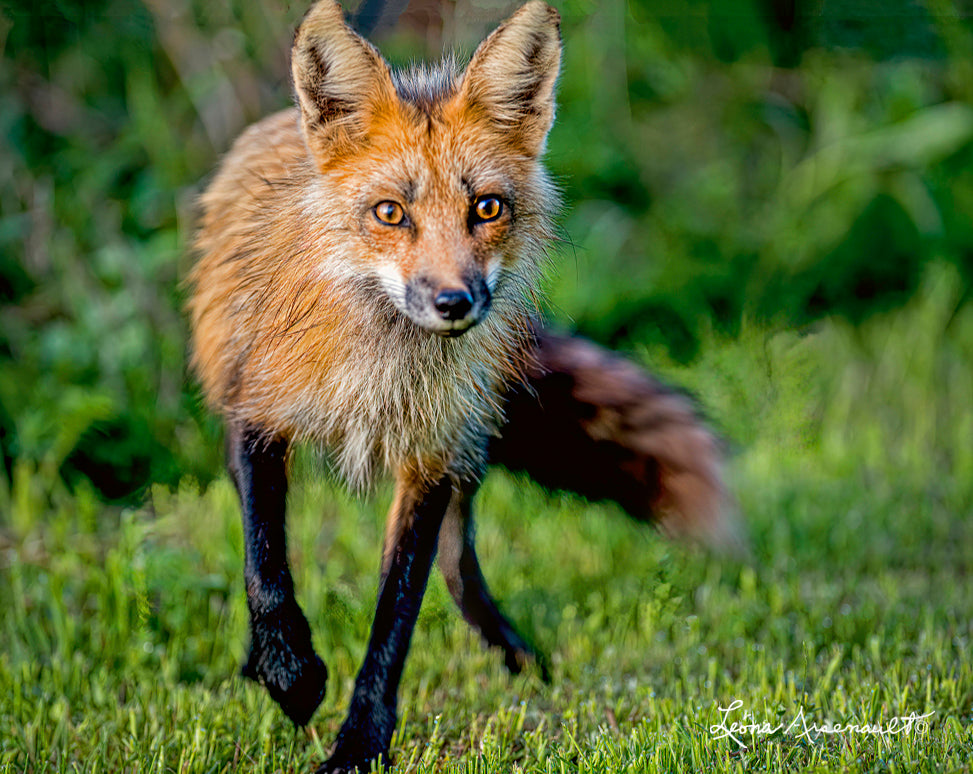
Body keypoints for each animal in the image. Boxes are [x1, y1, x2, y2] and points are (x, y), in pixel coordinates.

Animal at [187, 1, 737, 771]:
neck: (379, 374)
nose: (455, 302)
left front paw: (359, 743)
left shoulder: (430, 458)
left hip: (465, 453)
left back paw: (517, 657)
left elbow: (395, 618)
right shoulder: (256, 412)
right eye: (390, 212)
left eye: (487, 208)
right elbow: (265, 568)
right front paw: (290, 675)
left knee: (458, 563)